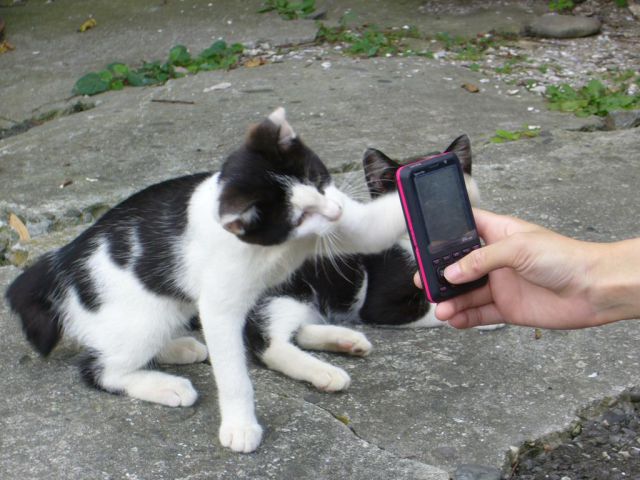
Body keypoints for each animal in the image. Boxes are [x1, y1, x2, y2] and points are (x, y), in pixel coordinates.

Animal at [3, 108, 404, 454]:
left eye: (319, 181)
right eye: (299, 215)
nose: (336, 211)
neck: (277, 246)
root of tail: (64, 257)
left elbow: (378, 226)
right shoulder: (219, 305)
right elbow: (233, 370)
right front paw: (241, 426)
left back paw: (180, 348)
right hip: (141, 312)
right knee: (99, 368)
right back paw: (166, 384)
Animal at [245, 133, 496, 392]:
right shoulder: (383, 303)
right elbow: (433, 309)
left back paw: (348, 341)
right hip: (288, 288)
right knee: (266, 342)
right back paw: (326, 373)